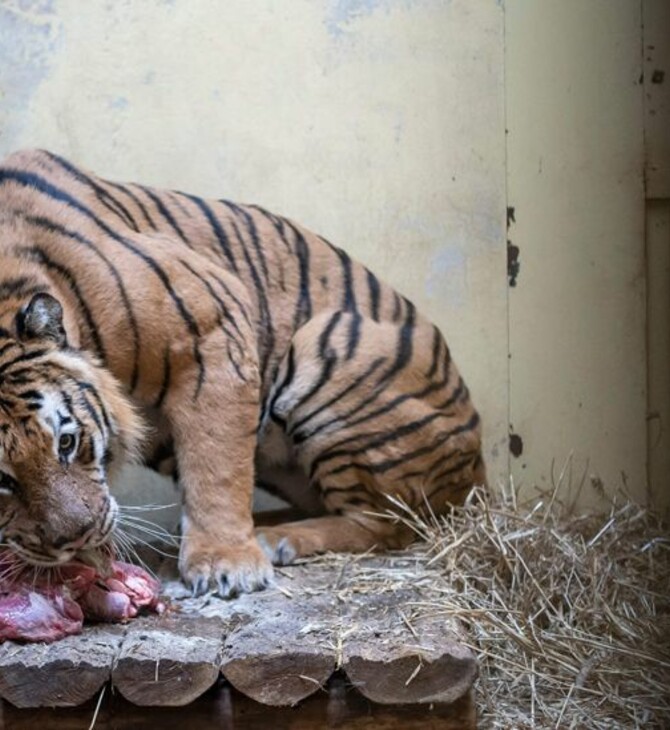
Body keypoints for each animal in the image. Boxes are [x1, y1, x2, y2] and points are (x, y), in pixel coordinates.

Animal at [0, 149, 486, 596]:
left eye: (66, 442)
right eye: (2, 480)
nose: (77, 539)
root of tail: (477, 469)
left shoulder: (212, 323)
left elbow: (216, 466)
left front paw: (226, 565)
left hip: (326, 344)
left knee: (388, 522)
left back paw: (276, 538)